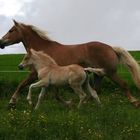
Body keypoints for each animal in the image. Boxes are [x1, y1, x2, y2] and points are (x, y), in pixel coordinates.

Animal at [0, 20, 140, 107]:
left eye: (11, 30)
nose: (1, 42)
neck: (41, 51)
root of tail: (111, 48)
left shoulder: (34, 74)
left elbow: (21, 85)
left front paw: (12, 102)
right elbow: (55, 95)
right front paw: (68, 103)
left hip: (110, 73)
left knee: (123, 84)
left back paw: (134, 102)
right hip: (98, 75)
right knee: (96, 91)